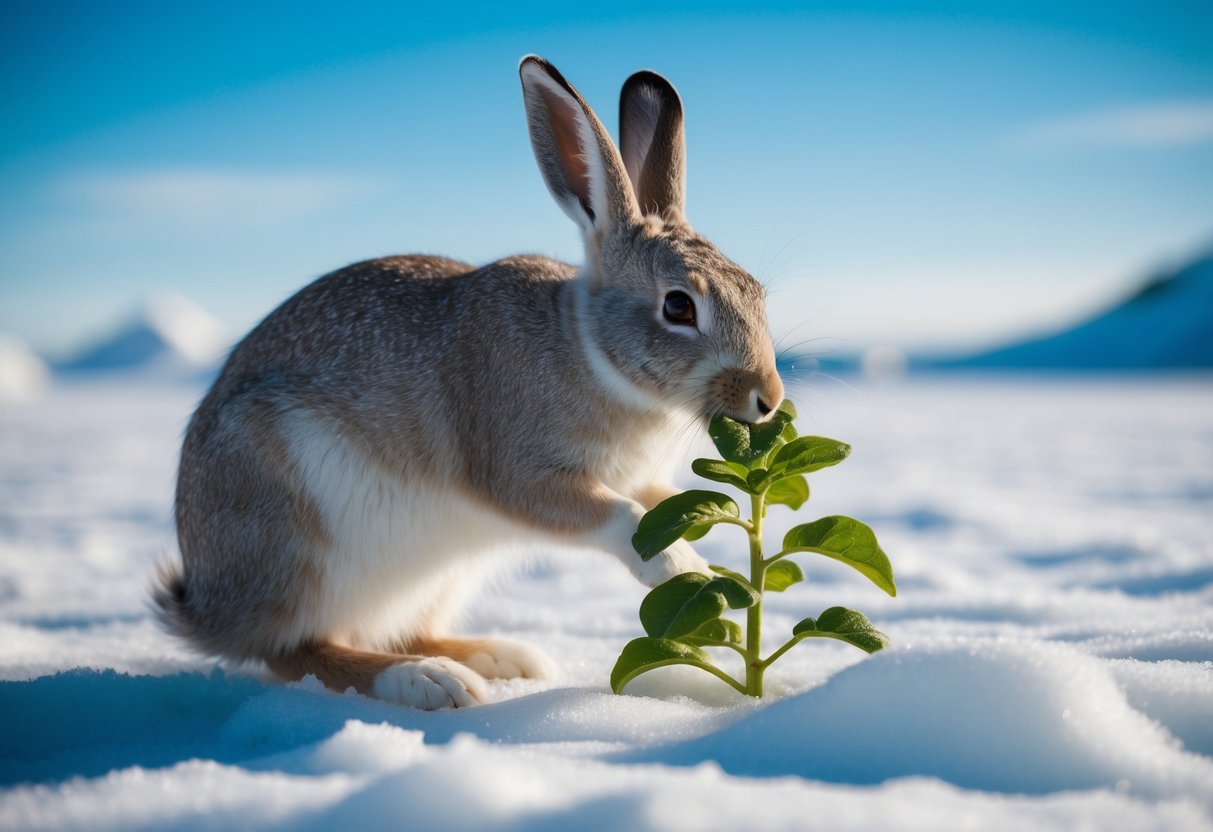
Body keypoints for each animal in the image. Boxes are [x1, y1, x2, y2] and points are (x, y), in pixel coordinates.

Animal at [153, 55, 784, 710]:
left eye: (755, 291)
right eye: (678, 307)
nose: (769, 399)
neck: (589, 350)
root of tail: (207, 608)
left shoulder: (636, 479)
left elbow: (656, 503)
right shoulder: (518, 473)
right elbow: (622, 518)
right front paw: (686, 570)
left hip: (438, 577)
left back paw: (503, 658)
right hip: (302, 544)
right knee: (298, 650)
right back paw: (429, 681)